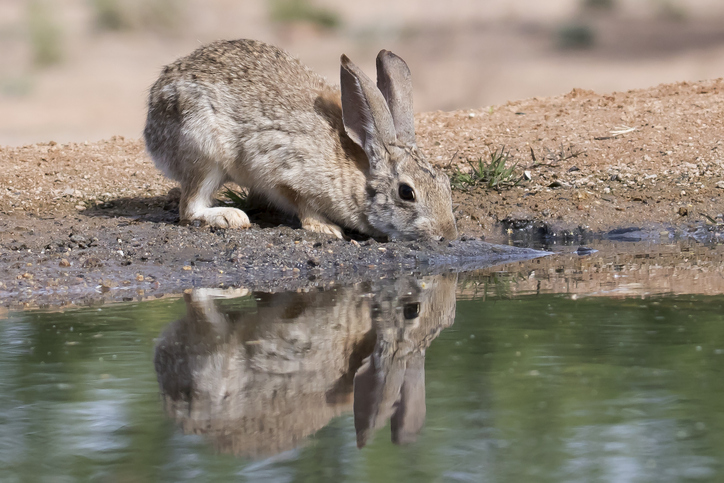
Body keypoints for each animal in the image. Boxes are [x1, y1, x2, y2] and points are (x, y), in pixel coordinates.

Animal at [144, 39, 457, 240]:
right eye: (406, 193)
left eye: (446, 183)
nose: (448, 235)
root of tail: (151, 125)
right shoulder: (284, 173)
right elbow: (302, 203)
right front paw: (326, 229)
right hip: (204, 151)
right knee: (190, 207)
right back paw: (230, 217)